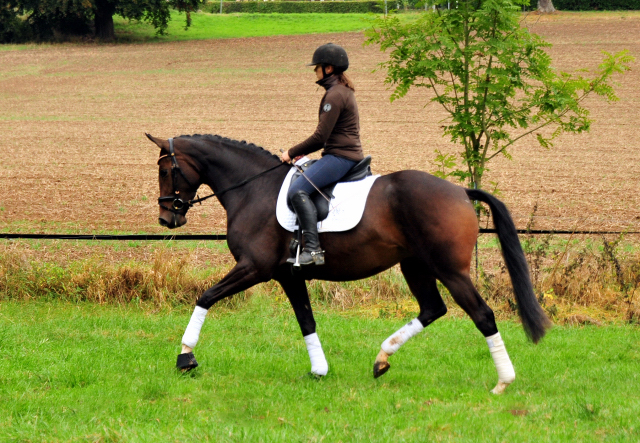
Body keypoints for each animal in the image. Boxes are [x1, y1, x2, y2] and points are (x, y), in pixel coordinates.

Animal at [146, 133, 552, 396]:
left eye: (166, 171)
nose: (167, 218)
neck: (252, 190)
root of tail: (459, 191)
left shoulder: (254, 268)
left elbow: (205, 297)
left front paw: (185, 357)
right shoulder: (287, 275)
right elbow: (306, 320)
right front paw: (319, 370)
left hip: (450, 271)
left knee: (482, 315)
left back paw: (503, 382)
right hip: (415, 266)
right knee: (432, 309)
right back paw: (382, 359)